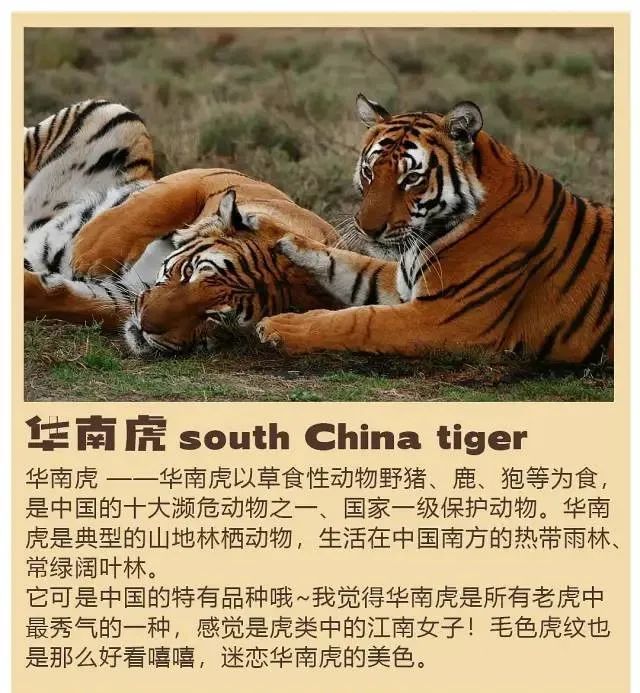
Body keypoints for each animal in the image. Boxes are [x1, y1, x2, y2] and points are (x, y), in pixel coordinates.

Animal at [25, 100, 340, 354]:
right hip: (118, 117)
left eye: (214, 317)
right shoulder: (209, 177)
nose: (146, 326)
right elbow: (162, 201)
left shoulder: (122, 293)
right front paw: (90, 253)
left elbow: (63, 298)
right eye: (189, 272)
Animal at [256, 93, 614, 364]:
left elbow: (358, 320)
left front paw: (279, 327)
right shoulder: (402, 281)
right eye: (370, 171)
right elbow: (348, 263)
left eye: (411, 178)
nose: (368, 229)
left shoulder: (444, 317)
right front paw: (276, 233)